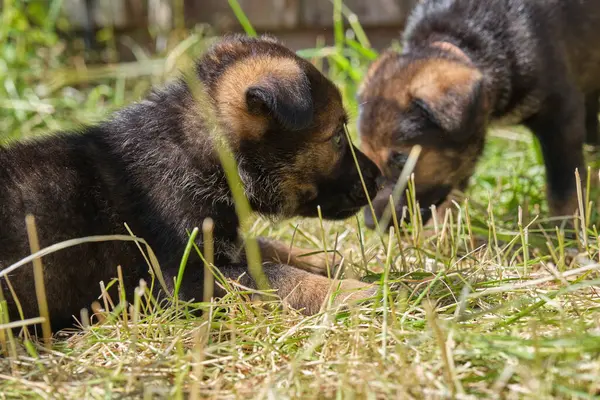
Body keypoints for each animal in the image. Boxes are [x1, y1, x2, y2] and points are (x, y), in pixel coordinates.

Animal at [356, 0, 600, 228]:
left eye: (402, 160)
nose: (370, 224)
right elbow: (450, 192)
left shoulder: (560, 117)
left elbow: (564, 189)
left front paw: (568, 232)